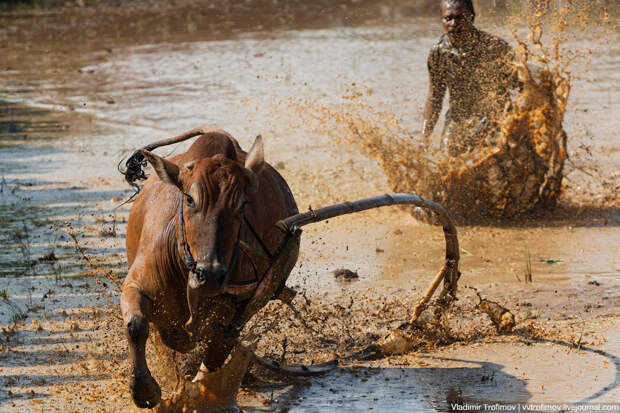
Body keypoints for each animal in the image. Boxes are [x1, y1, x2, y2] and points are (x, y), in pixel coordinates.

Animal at [120, 128, 300, 406]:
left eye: (242, 205)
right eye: (190, 199)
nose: (211, 275)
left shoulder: (234, 308)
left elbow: (216, 350)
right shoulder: (136, 283)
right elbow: (136, 325)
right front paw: (144, 390)